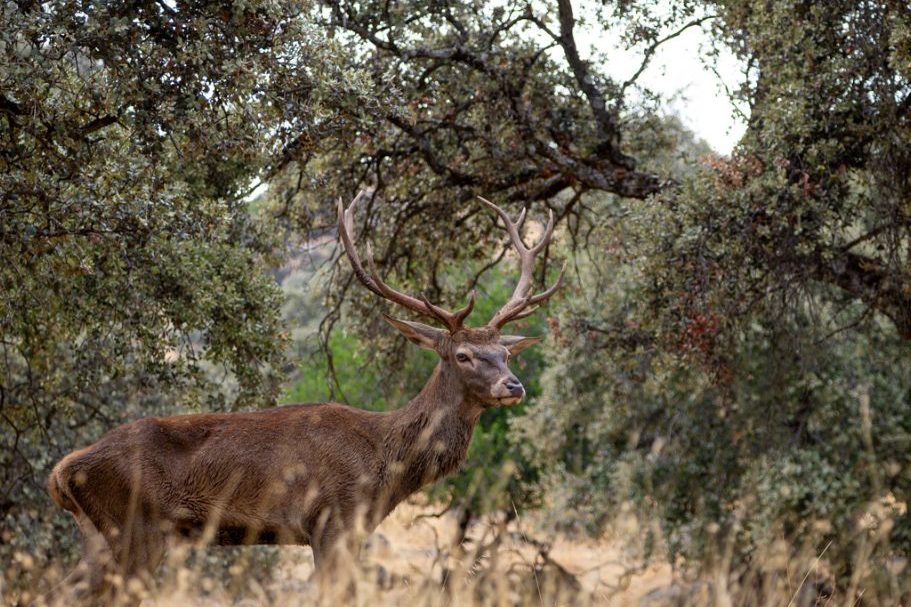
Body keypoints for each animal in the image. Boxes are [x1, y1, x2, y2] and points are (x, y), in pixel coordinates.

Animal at [40, 192, 564, 605]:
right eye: (463, 355)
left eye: (504, 353)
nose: (514, 386)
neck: (384, 466)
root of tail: (61, 473)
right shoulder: (330, 518)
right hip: (134, 528)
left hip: (100, 536)